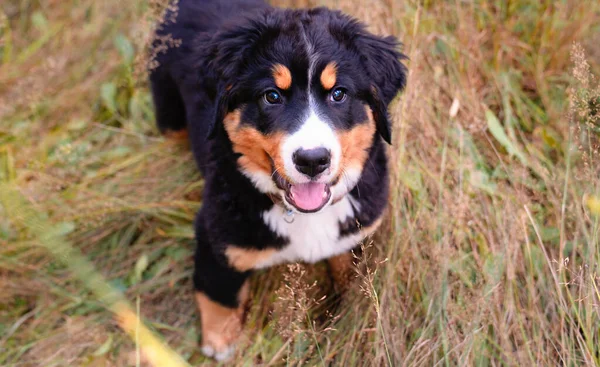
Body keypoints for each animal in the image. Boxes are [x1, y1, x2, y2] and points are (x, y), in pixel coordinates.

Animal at [149, 0, 408, 362]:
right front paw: (220, 343)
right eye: (272, 96)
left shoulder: (357, 234)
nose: (313, 160)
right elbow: (219, 293)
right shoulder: (218, 236)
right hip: (168, 109)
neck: (303, 216)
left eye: (339, 94)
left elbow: (349, 276)